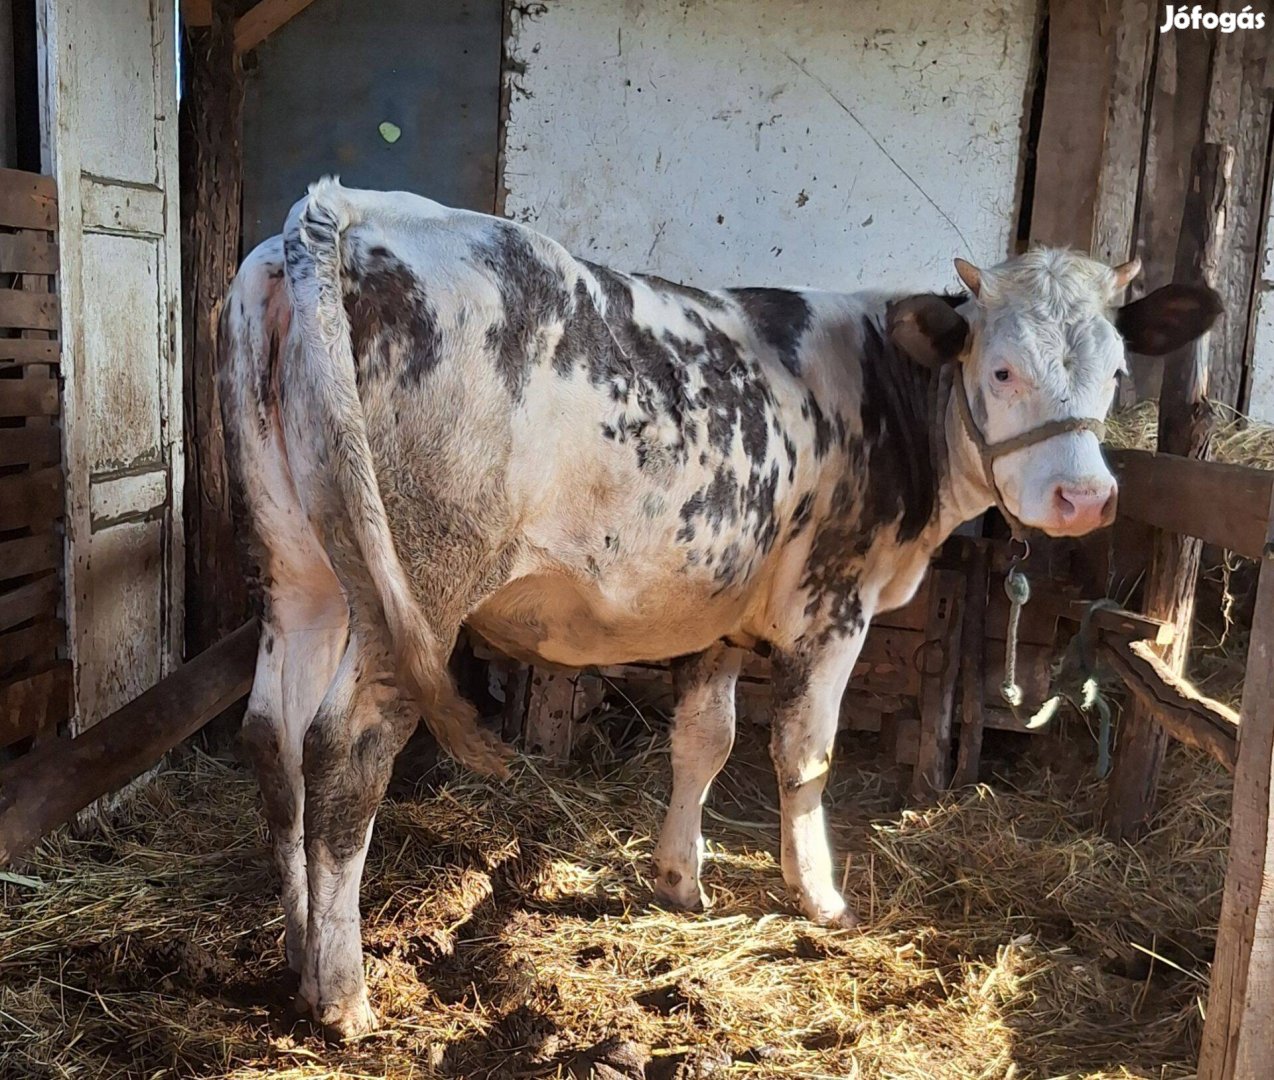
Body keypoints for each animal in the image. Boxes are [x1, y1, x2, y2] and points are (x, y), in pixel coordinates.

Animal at [216, 179, 1212, 1039]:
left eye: (1117, 372)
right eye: (1000, 369)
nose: (1084, 499)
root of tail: (348, 208)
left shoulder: (719, 604)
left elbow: (705, 739)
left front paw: (678, 881)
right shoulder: (833, 599)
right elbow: (803, 753)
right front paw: (820, 897)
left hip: (300, 565)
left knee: (273, 733)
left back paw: (300, 953)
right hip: (418, 581)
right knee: (346, 749)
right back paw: (343, 995)